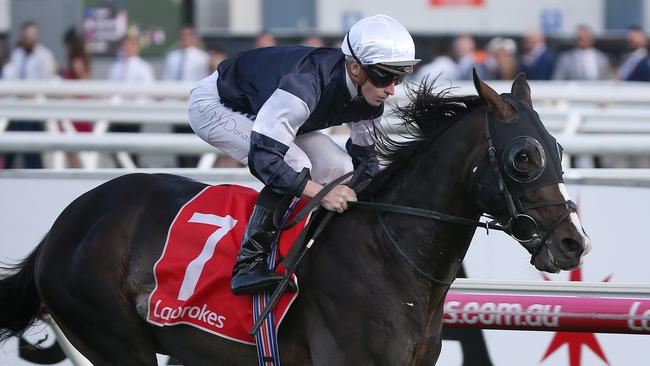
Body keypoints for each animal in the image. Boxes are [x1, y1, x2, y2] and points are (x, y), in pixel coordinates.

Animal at [0, 73, 588, 364]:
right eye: (523, 156)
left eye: (558, 149)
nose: (572, 244)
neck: (391, 258)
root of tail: (66, 224)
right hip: (115, 340)